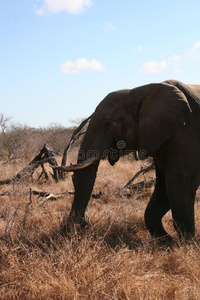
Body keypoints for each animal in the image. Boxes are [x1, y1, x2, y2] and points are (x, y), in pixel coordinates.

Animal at [54, 79, 200, 241]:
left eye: (107, 123)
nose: (82, 225)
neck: (140, 92)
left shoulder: (186, 132)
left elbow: (178, 182)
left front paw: (185, 243)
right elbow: (163, 186)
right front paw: (166, 241)